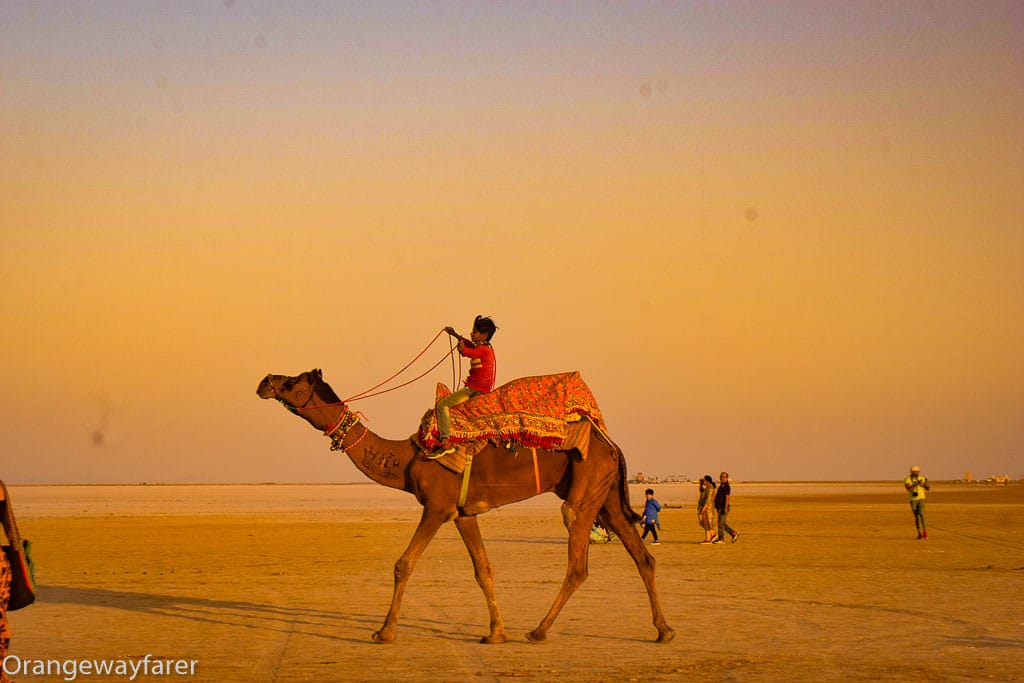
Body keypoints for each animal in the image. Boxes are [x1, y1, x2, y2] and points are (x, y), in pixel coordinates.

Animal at [256, 370, 675, 643]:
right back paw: (664, 631)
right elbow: (483, 569)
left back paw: (539, 630)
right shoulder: (464, 512)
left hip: (586, 489)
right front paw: (495, 633)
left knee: (578, 561)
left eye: (293, 382)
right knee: (642, 556)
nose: (265, 381)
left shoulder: (437, 507)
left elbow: (403, 564)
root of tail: (610, 442)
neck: (405, 458)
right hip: (605, 496)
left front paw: (384, 631)